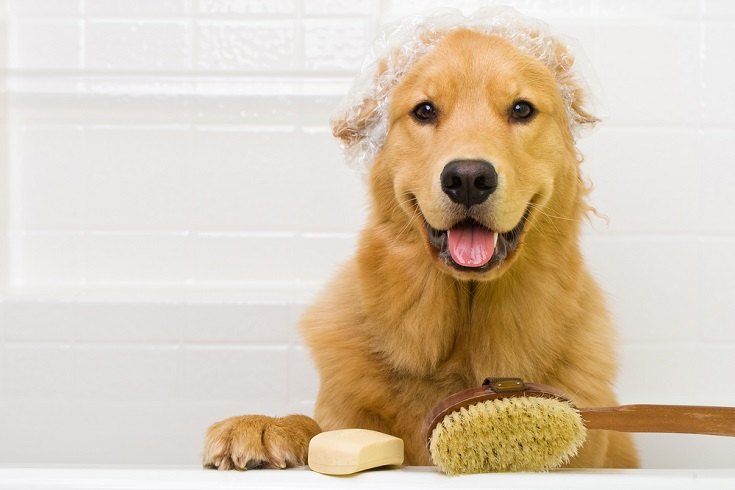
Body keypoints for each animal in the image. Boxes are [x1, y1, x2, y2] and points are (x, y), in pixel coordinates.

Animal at [201, 10, 640, 470]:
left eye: (522, 109)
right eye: (425, 110)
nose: (468, 178)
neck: (460, 347)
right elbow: (322, 427)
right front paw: (266, 426)